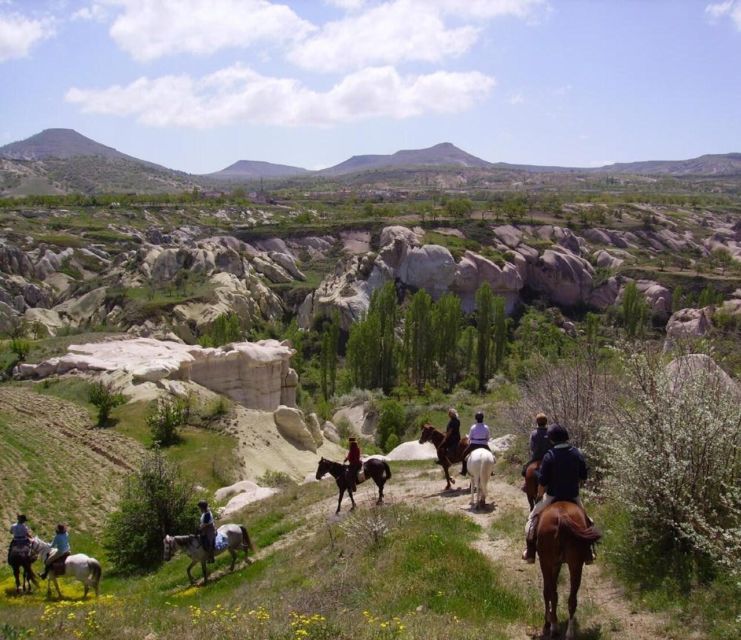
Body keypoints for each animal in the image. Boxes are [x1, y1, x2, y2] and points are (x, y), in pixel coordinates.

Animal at [536, 502, 600, 636]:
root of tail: (562, 515)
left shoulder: (550, 564)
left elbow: (547, 592)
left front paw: (547, 624)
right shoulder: (557, 565)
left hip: (547, 562)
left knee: (550, 593)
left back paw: (553, 627)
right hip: (576, 564)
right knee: (572, 600)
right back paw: (569, 633)